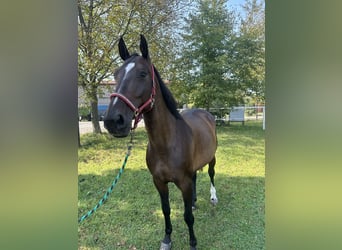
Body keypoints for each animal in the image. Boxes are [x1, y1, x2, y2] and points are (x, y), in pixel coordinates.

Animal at [103, 35, 218, 250]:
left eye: (142, 73)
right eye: (115, 74)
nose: (113, 121)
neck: (167, 144)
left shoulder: (183, 182)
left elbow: (187, 217)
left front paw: (192, 242)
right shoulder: (158, 182)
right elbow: (166, 210)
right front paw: (167, 239)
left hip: (212, 157)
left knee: (211, 174)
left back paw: (213, 197)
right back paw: (194, 201)